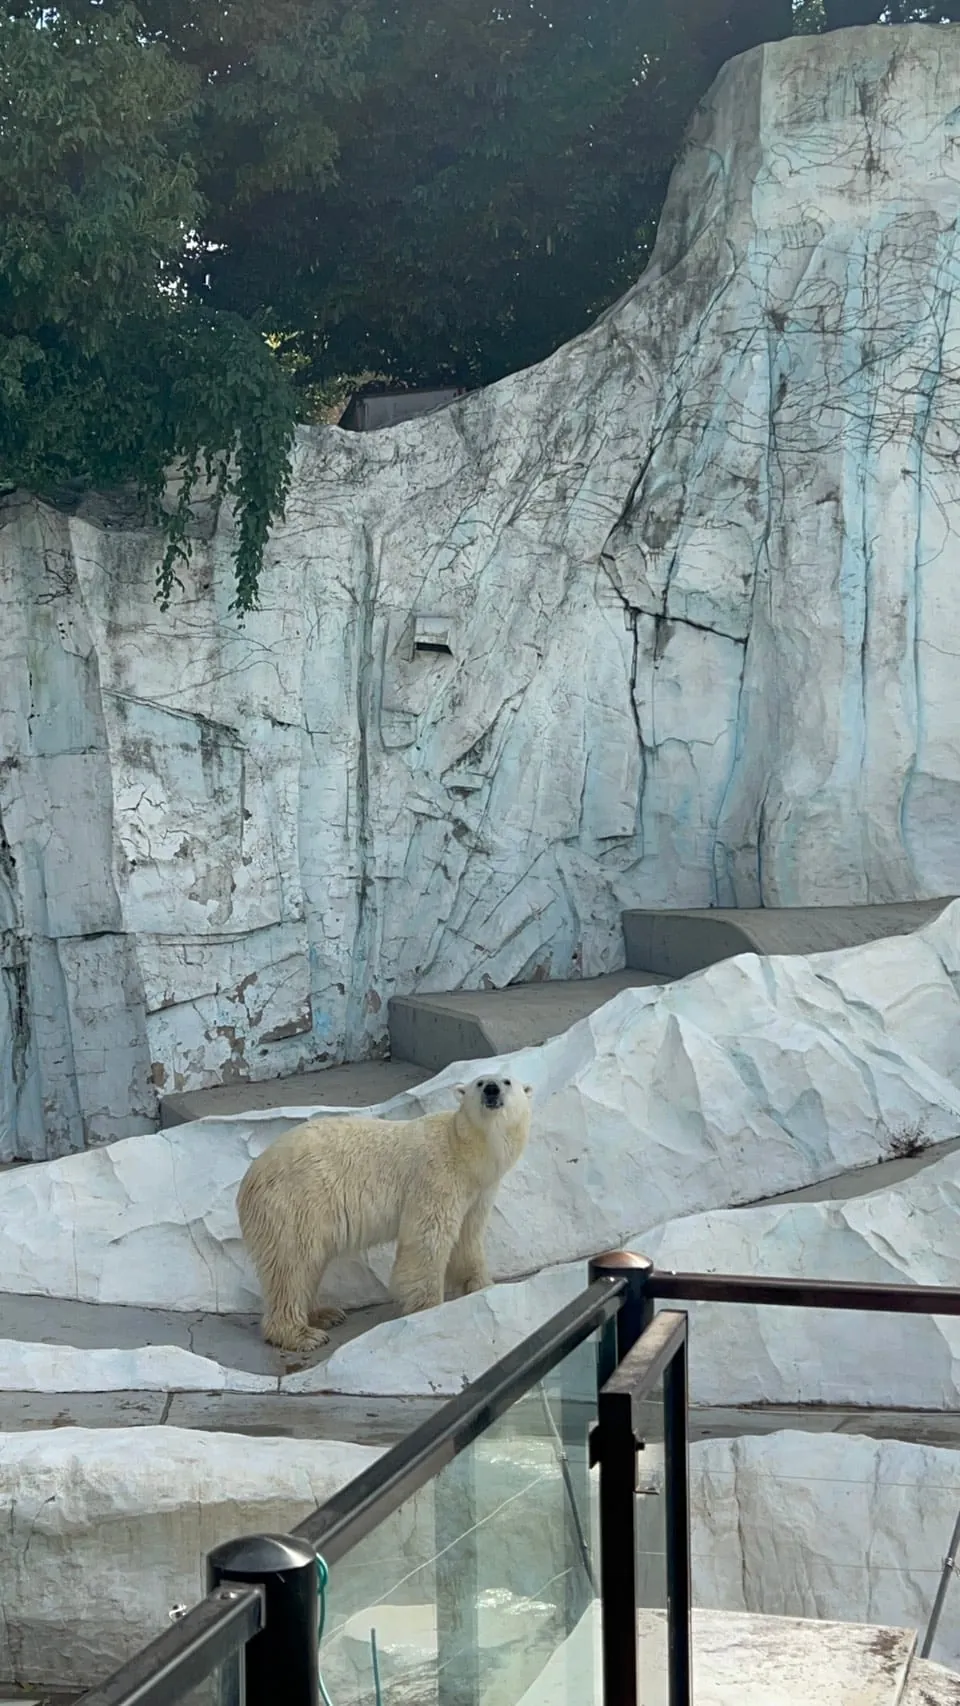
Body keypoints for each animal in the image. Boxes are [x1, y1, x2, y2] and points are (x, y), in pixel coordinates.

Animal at [236, 1074, 533, 1354]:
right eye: (480, 1082)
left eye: (507, 1081)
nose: (492, 1089)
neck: (464, 1151)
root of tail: (250, 1179)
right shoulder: (436, 1176)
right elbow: (427, 1239)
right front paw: (429, 1311)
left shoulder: (479, 1192)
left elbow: (467, 1238)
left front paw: (482, 1286)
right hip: (295, 1202)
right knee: (292, 1265)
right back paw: (302, 1335)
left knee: (308, 1266)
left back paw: (325, 1314)